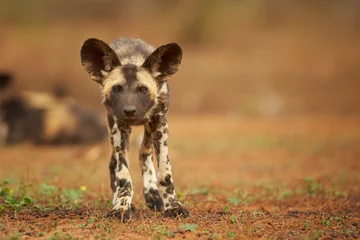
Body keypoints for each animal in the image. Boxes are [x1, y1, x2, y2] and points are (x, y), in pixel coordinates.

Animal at [80, 37, 190, 221]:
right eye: (117, 88)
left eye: (143, 89)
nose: (130, 111)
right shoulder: (119, 128)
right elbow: (123, 175)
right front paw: (122, 206)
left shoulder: (160, 124)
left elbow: (165, 172)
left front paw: (173, 205)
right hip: (114, 130)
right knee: (114, 164)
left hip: (151, 127)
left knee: (144, 151)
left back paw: (152, 194)